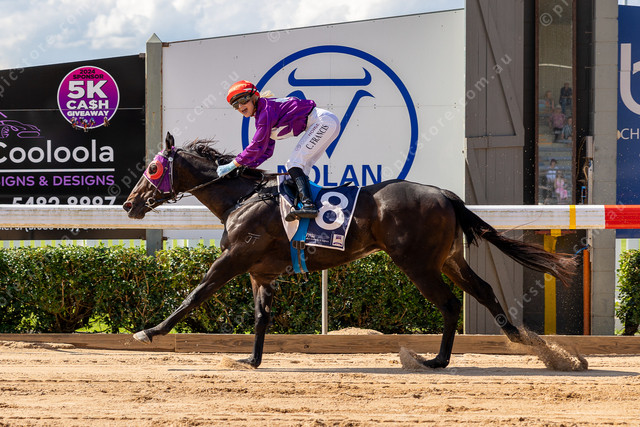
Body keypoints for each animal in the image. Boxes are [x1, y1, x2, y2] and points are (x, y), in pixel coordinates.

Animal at [123, 132, 576, 369]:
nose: (129, 204)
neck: (243, 197)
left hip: (417, 264)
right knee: (481, 290)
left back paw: (435, 360)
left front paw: (149, 331)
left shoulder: (234, 258)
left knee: (449, 304)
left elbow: (194, 296)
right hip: (448, 259)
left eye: (152, 168)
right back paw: (534, 346)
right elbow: (261, 316)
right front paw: (250, 360)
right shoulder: (260, 272)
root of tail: (446, 194)